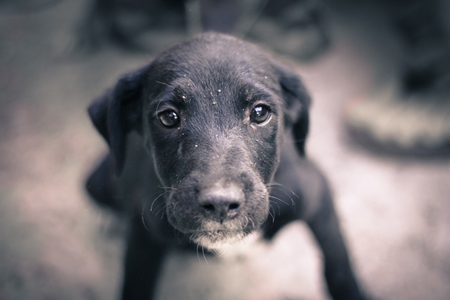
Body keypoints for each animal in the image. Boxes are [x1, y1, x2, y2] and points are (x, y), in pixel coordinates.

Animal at [86, 32, 368, 300]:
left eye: (260, 113)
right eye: (168, 117)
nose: (220, 203)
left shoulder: (317, 194)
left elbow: (338, 268)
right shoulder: (144, 239)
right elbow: (135, 286)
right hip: (100, 182)